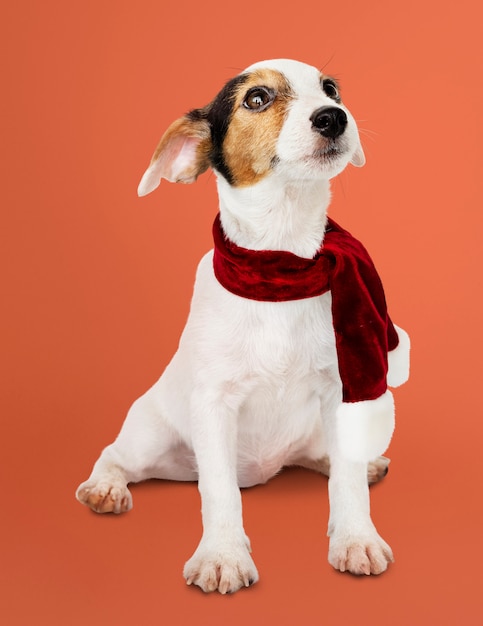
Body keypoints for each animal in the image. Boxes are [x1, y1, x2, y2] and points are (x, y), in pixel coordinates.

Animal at [75, 59, 408, 596]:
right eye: (257, 98)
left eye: (331, 89)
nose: (333, 117)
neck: (281, 267)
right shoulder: (214, 405)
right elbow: (219, 492)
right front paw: (223, 555)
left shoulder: (341, 392)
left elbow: (348, 482)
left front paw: (356, 538)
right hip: (149, 436)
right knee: (116, 455)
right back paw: (105, 486)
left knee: (328, 457)